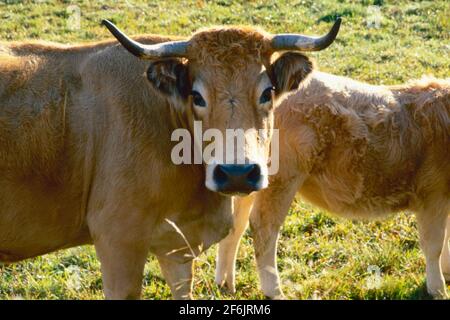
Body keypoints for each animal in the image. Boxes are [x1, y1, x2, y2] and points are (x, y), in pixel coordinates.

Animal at [216, 69, 448, 298]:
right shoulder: (432, 195)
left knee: (236, 224)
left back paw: (225, 283)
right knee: (263, 227)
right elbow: (434, 245)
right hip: (281, 179)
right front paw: (438, 289)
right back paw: (274, 291)